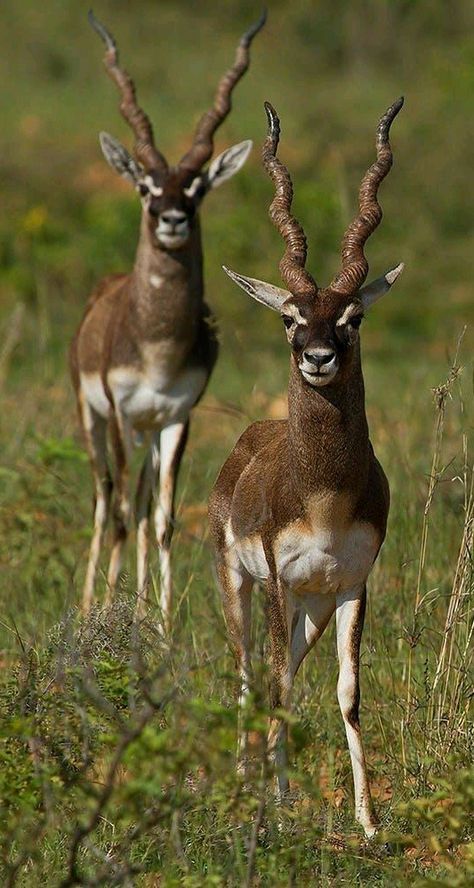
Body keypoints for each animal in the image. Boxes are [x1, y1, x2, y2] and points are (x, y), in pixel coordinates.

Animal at [70, 10, 264, 628]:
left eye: (197, 187)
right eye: (145, 186)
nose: (172, 218)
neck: (156, 345)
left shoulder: (179, 416)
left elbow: (164, 521)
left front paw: (161, 626)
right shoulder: (118, 411)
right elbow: (120, 514)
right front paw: (104, 615)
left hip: (150, 431)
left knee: (139, 501)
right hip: (96, 419)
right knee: (106, 497)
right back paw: (90, 602)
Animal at [208, 100, 404, 836]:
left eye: (352, 317)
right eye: (291, 317)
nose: (318, 357)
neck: (321, 497)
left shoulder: (351, 584)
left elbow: (347, 693)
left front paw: (369, 824)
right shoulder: (278, 582)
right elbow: (273, 686)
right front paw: (270, 815)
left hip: (311, 610)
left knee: (283, 672)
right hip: (242, 587)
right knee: (249, 673)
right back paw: (247, 786)